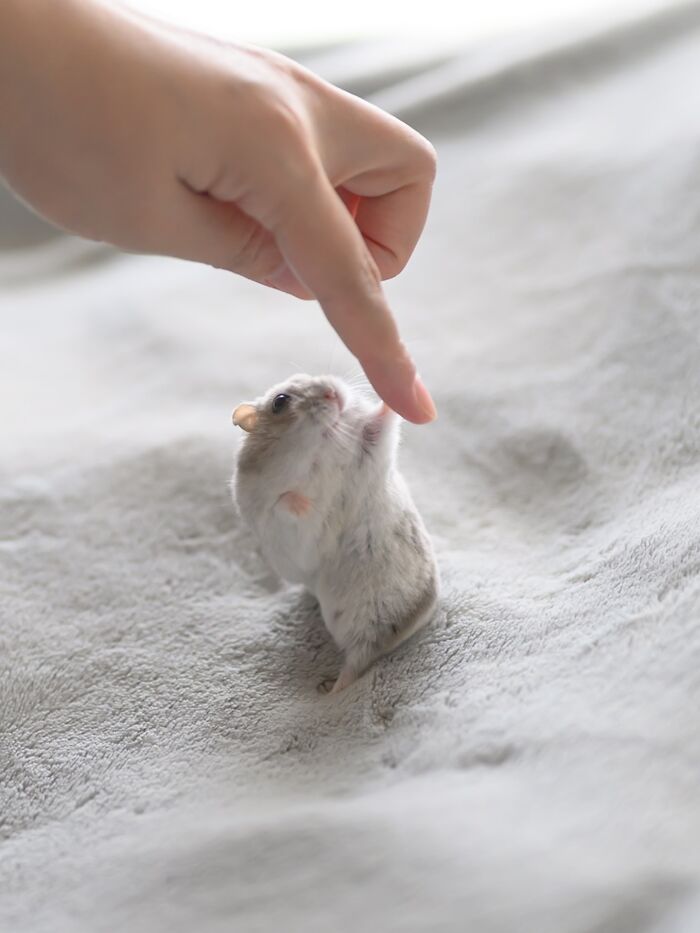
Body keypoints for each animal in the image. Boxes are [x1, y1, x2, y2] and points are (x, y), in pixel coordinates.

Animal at [231, 374, 438, 694]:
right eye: (280, 401)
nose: (332, 392)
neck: (319, 446)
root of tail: (396, 630)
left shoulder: (371, 448)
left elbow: (381, 423)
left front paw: (393, 396)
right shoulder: (275, 518)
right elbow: (285, 502)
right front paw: (308, 503)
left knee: (359, 657)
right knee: (355, 664)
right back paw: (330, 689)